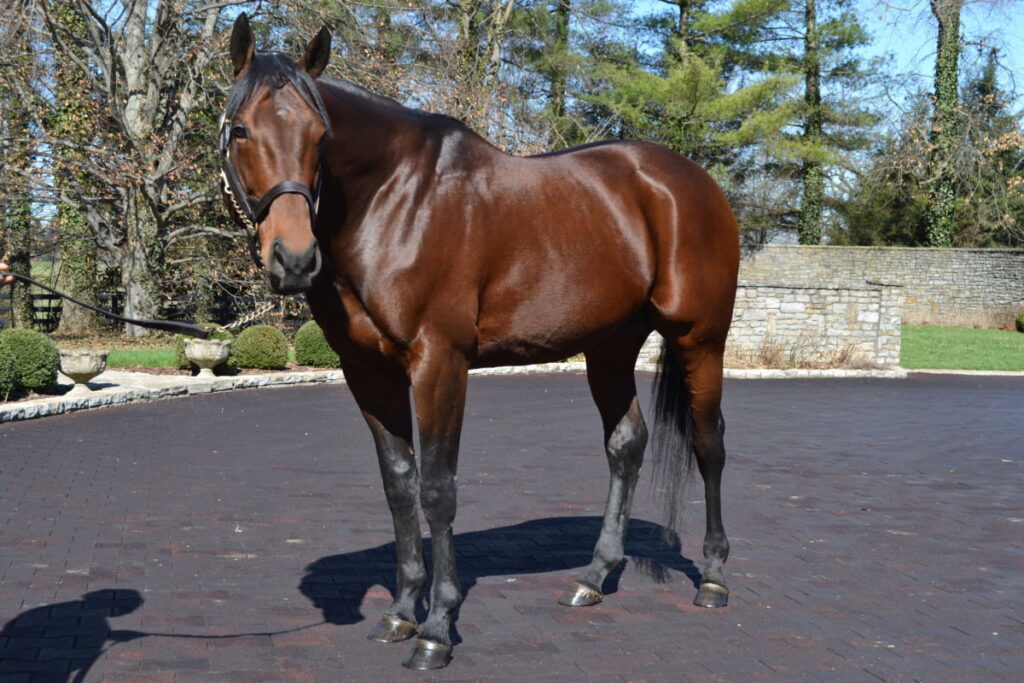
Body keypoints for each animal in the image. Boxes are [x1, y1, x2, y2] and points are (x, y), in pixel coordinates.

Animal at [220, 13, 741, 671]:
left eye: (321, 136)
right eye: (241, 129)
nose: (294, 259)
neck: (394, 202)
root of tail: (691, 181)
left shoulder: (439, 363)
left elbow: (438, 489)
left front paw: (437, 629)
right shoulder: (367, 371)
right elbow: (400, 486)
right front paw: (400, 612)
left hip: (701, 339)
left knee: (708, 444)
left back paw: (714, 578)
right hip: (611, 347)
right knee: (626, 444)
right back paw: (593, 578)